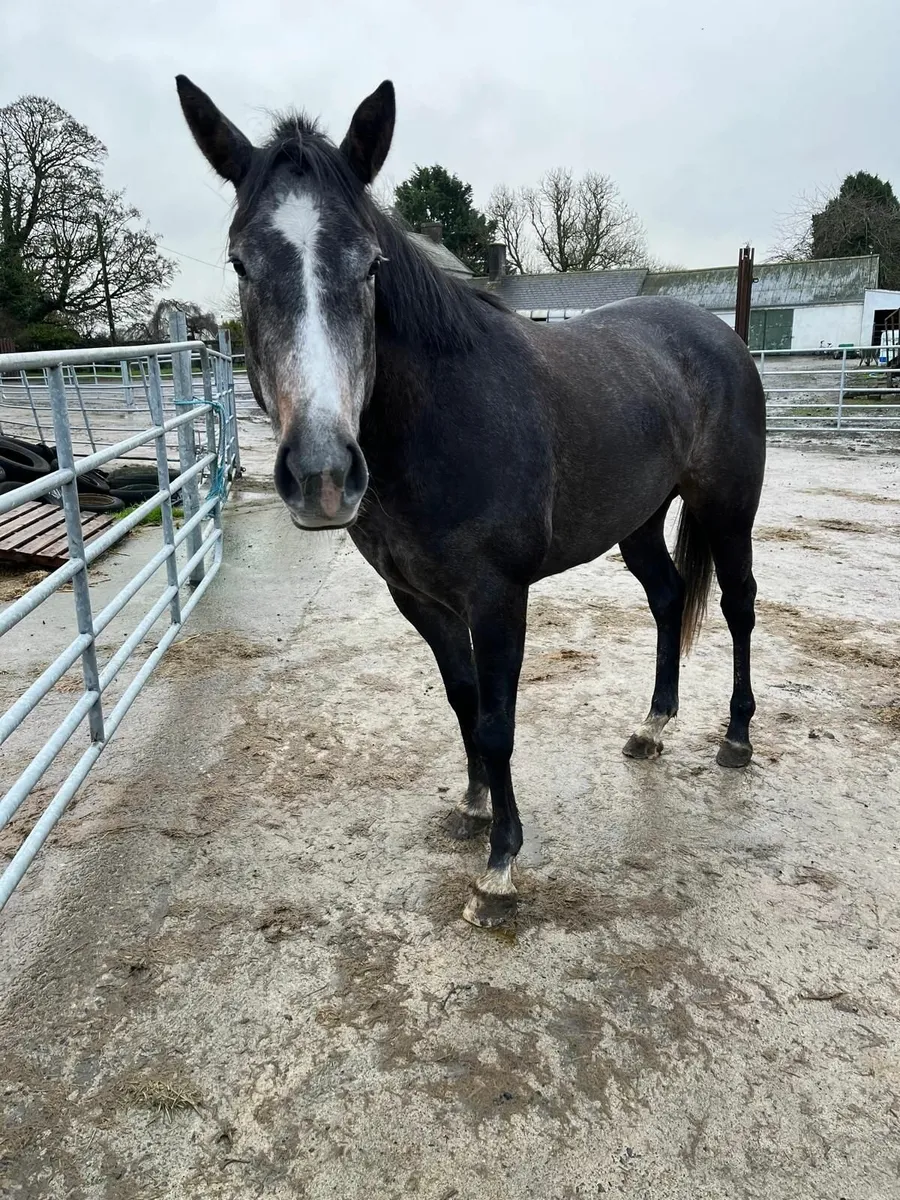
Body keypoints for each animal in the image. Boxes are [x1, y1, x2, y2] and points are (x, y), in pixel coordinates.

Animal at [176, 76, 766, 928]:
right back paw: (652, 727)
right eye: (241, 263)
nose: (322, 473)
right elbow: (461, 704)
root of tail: (718, 335)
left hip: (728, 505)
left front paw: (501, 867)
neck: (444, 420)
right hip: (640, 520)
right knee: (666, 596)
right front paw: (473, 808)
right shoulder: (418, 598)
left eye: (370, 264)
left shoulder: (498, 597)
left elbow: (496, 720)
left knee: (738, 605)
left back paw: (737, 738)